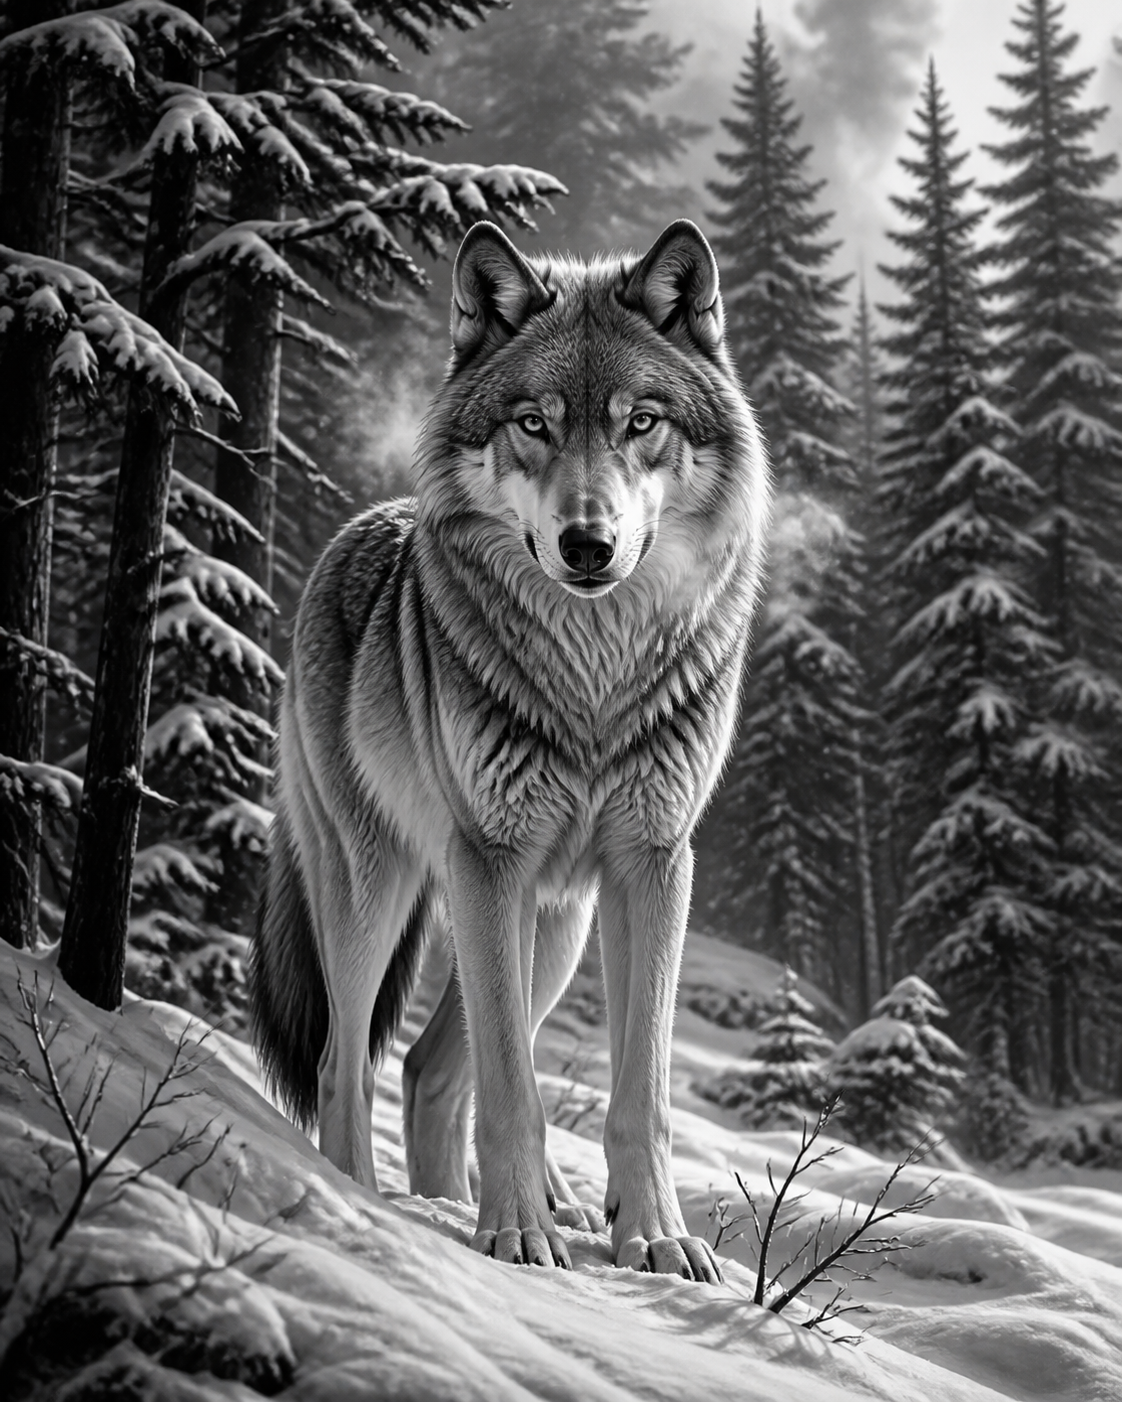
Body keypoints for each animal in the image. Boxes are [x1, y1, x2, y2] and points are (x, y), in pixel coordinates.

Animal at [251, 217, 770, 1282]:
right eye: (533, 423)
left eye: (640, 422)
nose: (586, 544)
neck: (595, 680)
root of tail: (354, 530)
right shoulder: (488, 861)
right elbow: (514, 1089)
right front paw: (519, 1236)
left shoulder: (654, 864)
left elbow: (640, 1094)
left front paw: (654, 1237)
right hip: (380, 890)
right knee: (343, 1061)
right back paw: (368, 1202)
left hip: (556, 930)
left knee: (425, 1066)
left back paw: (475, 1202)